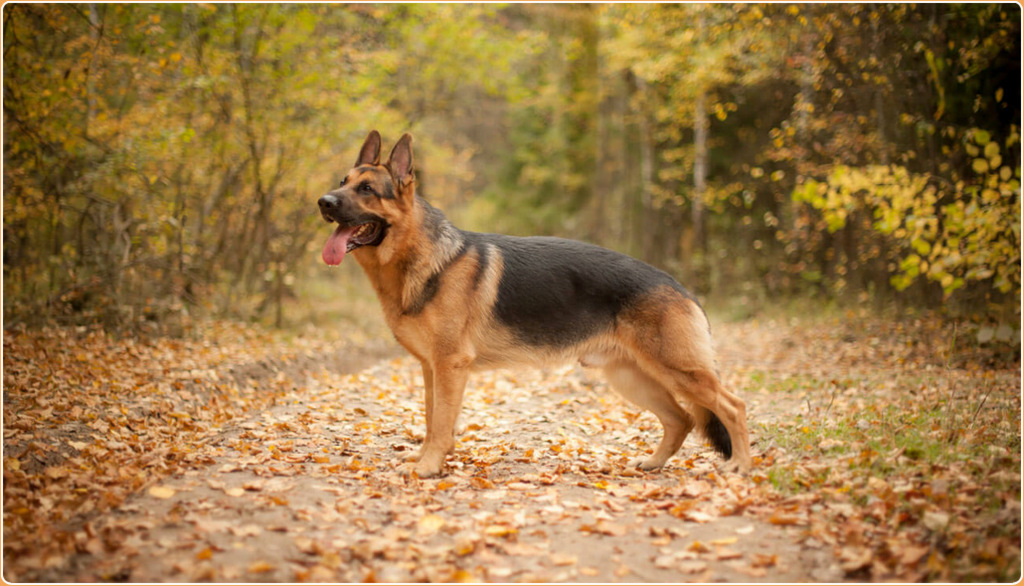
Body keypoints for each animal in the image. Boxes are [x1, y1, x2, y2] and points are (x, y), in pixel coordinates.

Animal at [313, 130, 753, 477]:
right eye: (343, 181)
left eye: (367, 190)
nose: (324, 202)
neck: (420, 256)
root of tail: (680, 287)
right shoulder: (430, 369)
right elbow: (432, 417)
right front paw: (428, 459)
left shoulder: (450, 366)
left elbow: (440, 423)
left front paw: (428, 467)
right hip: (634, 379)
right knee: (681, 419)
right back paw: (653, 463)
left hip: (679, 372)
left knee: (733, 407)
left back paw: (740, 466)